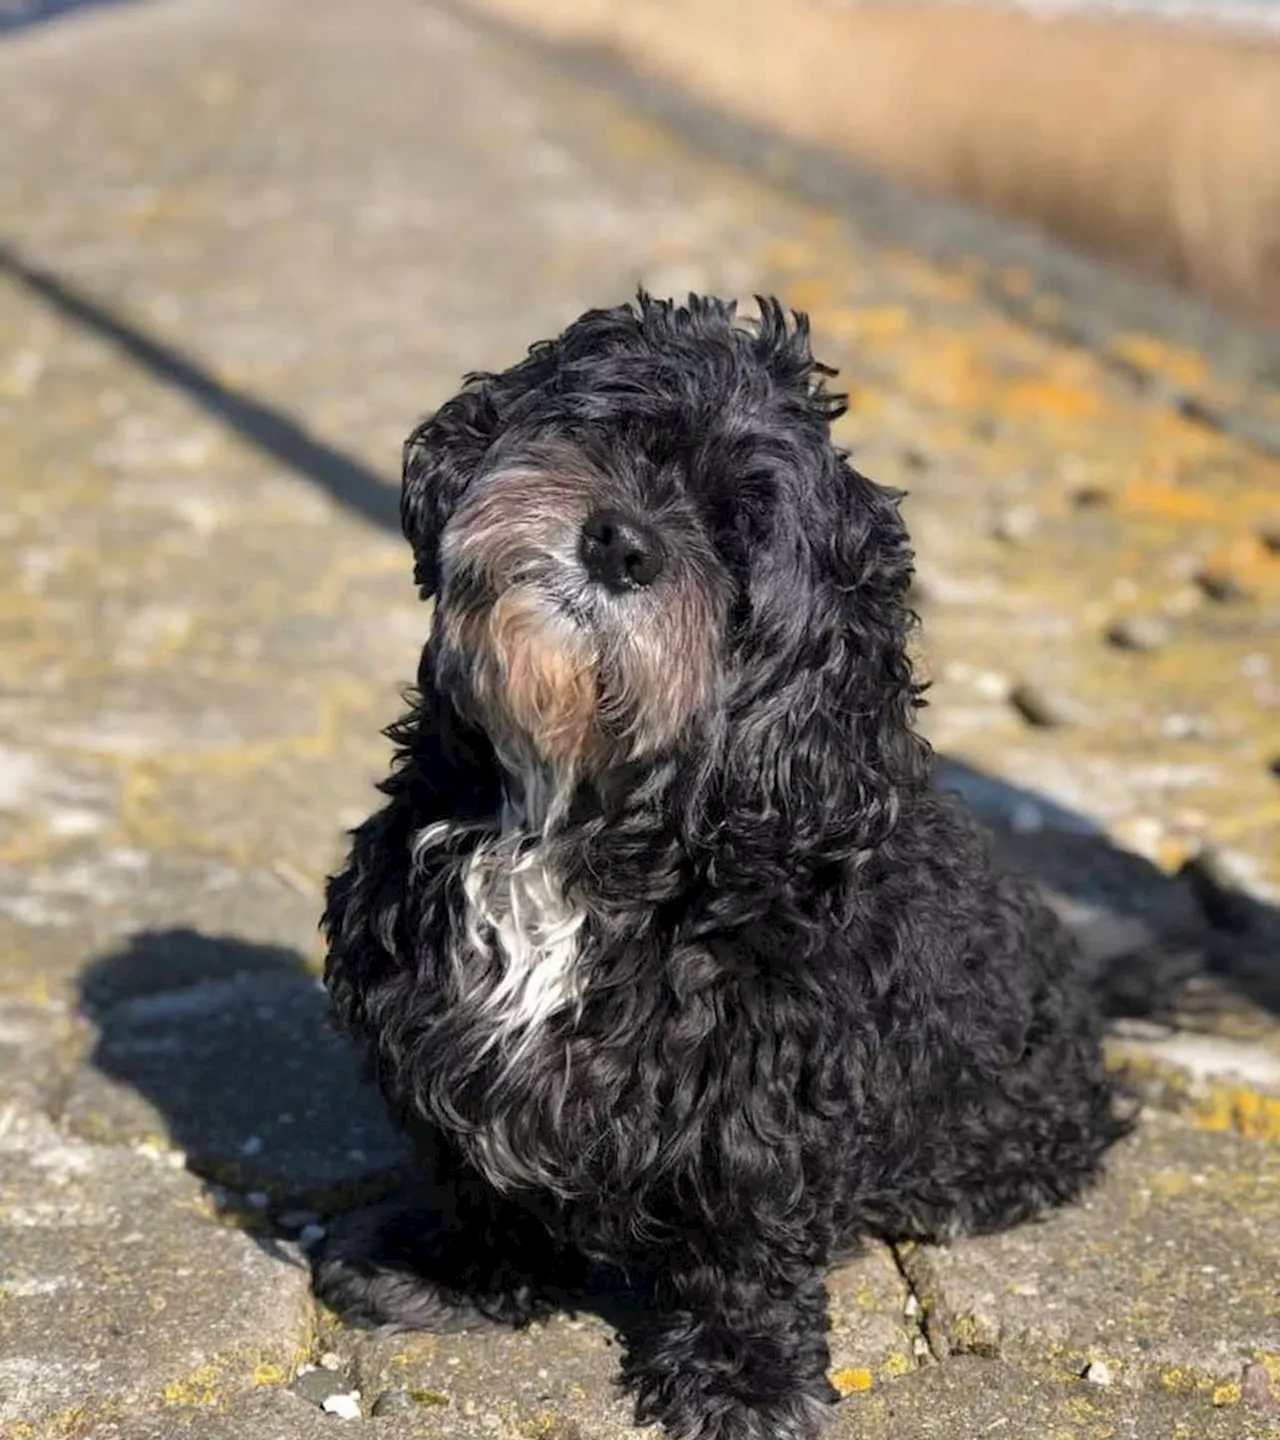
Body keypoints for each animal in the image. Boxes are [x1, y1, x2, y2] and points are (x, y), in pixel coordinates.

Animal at [319, 295, 1128, 1440]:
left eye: (738, 537)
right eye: (620, 434)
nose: (619, 542)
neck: (573, 817)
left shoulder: (764, 1084)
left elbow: (746, 1244)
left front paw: (742, 1378)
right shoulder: (432, 1022)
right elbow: (470, 1176)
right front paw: (457, 1276)